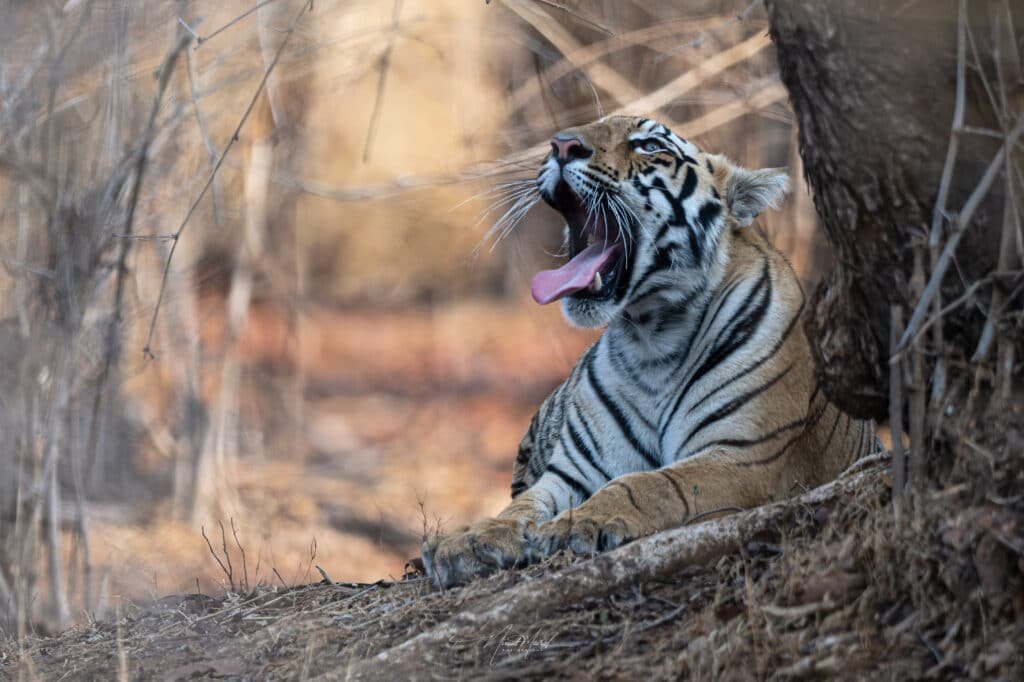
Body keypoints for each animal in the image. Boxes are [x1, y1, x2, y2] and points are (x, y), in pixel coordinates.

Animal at [422, 115, 878, 588]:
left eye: (649, 146)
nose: (561, 145)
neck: (651, 339)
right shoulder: (572, 470)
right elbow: (523, 504)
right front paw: (469, 540)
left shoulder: (742, 455)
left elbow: (652, 483)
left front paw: (579, 522)